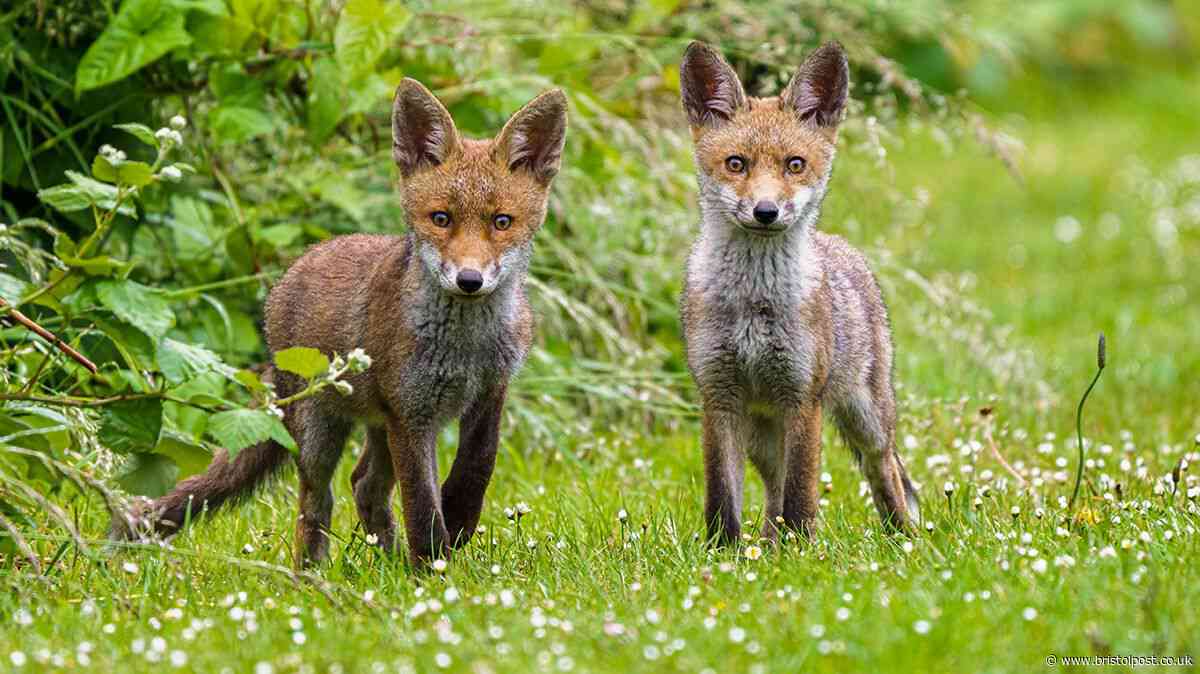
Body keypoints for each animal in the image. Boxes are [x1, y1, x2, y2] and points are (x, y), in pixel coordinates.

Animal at [111, 80, 568, 567]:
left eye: (502, 222)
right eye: (441, 219)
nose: (469, 280)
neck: (466, 347)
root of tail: (299, 264)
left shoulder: (488, 393)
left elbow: (476, 467)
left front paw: (459, 520)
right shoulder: (411, 414)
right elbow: (421, 505)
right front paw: (432, 566)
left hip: (378, 424)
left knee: (364, 485)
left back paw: (386, 561)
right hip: (319, 431)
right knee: (317, 501)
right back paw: (313, 572)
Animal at [677, 41, 920, 545]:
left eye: (794, 165)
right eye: (736, 164)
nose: (766, 211)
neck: (754, 301)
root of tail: (843, 247)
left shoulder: (802, 397)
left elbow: (801, 495)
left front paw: (803, 550)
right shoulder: (719, 397)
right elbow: (722, 495)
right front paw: (724, 551)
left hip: (866, 416)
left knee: (883, 468)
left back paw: (901, 536)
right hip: (762, 434)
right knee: (772, 490)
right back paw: (769, 547)